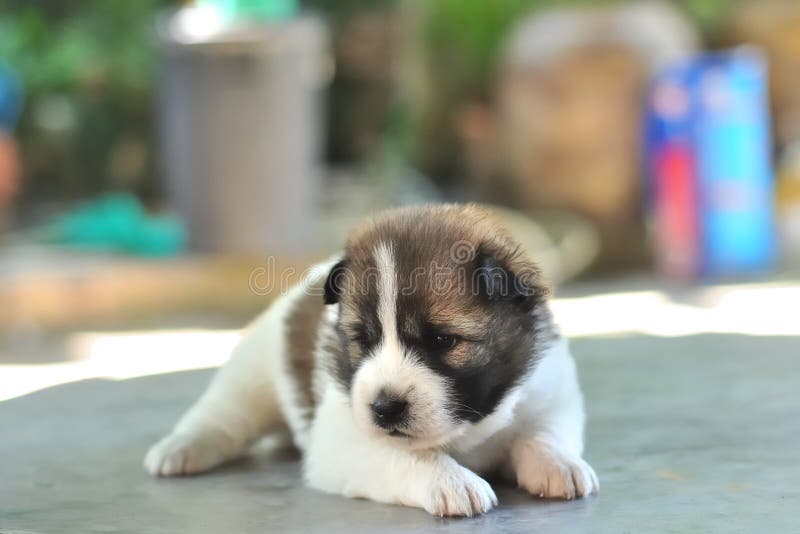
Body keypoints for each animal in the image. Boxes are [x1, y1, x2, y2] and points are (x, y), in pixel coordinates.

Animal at [144, 203, 596, 516]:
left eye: (442, 339)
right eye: (363, 338)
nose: (384, 407)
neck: (466, 431)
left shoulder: (550, 393)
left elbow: (543, 433)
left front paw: (560, 464)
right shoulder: (343, 438)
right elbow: (406, 455)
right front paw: (451, 480)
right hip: (249, 377)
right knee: (221, 417)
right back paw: (179, 449)